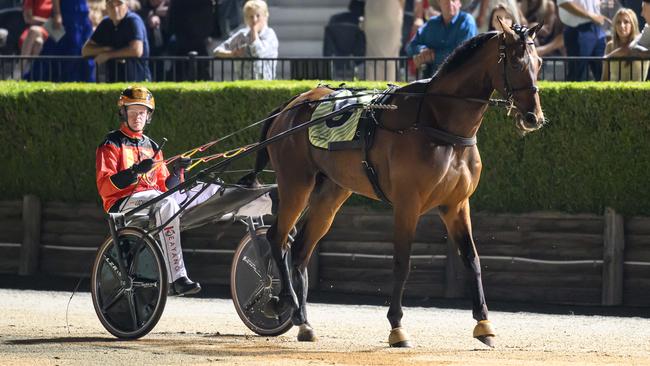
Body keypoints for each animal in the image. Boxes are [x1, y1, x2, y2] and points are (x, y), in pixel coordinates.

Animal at [251, 24, 544, 348]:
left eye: (539, 63)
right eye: (515, 63)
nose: (534, 117)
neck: (436, 120)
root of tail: (291, 105)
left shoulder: (456, 204)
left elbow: (472, 259)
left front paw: (484, 324)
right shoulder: (408, 203)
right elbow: (402, 263)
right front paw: (397, 326)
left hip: (332, 192)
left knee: (301, 248)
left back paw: (303, 321)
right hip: (296, 183)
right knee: (278, 238)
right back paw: (284, 302)